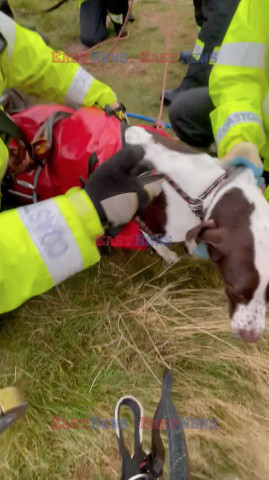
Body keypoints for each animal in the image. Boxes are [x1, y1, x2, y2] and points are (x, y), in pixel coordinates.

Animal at [124, 125, 268, 344]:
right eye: (232, 287)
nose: (250, 337)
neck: (211, 193)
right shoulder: (149, 218)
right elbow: (153, 238)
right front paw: (168, 255)